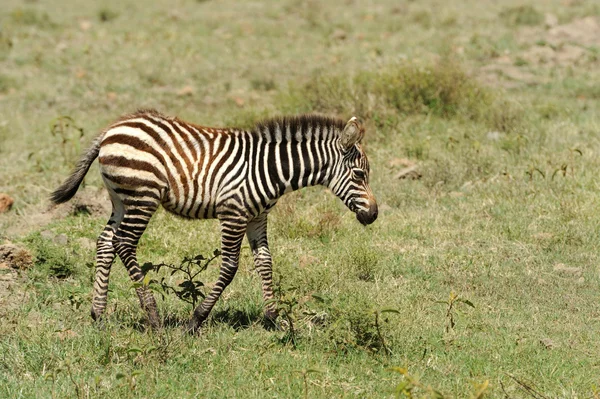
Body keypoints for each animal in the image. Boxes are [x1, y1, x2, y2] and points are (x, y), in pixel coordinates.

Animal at [52, 109, 380, 332]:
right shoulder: (233, 213)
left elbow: (265, 261)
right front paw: (196, 320)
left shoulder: (257, 217)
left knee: (106, 242)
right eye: (359, 174)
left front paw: (274, 319)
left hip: (121, 199)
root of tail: (111, 130)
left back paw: (98, 313)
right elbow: (231, 266)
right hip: (142, 196)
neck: (270, 169)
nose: (374, 215)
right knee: (124, 243)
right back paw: (153, 315)